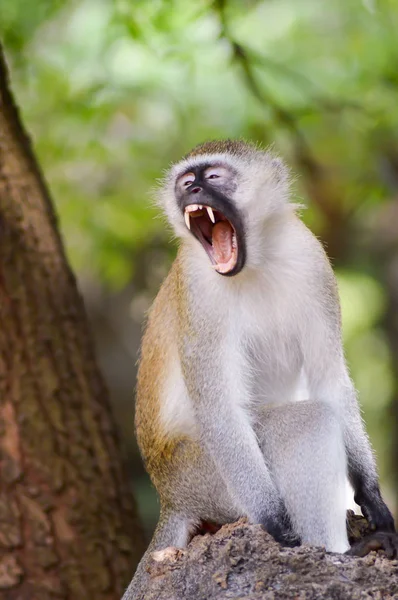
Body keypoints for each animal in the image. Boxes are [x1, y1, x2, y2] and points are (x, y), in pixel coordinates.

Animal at [123, 142, 396, 600]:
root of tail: (170, 495)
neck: (256, 260)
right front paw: (276, 524)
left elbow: (329, 378)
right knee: (307, 421)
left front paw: (372, 495)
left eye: (213, 176)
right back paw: (336, 555)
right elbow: (220, 410)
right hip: (206, 476)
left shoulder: (312, 260)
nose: (192, 188)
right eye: (186, 180)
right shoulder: (199, 290)